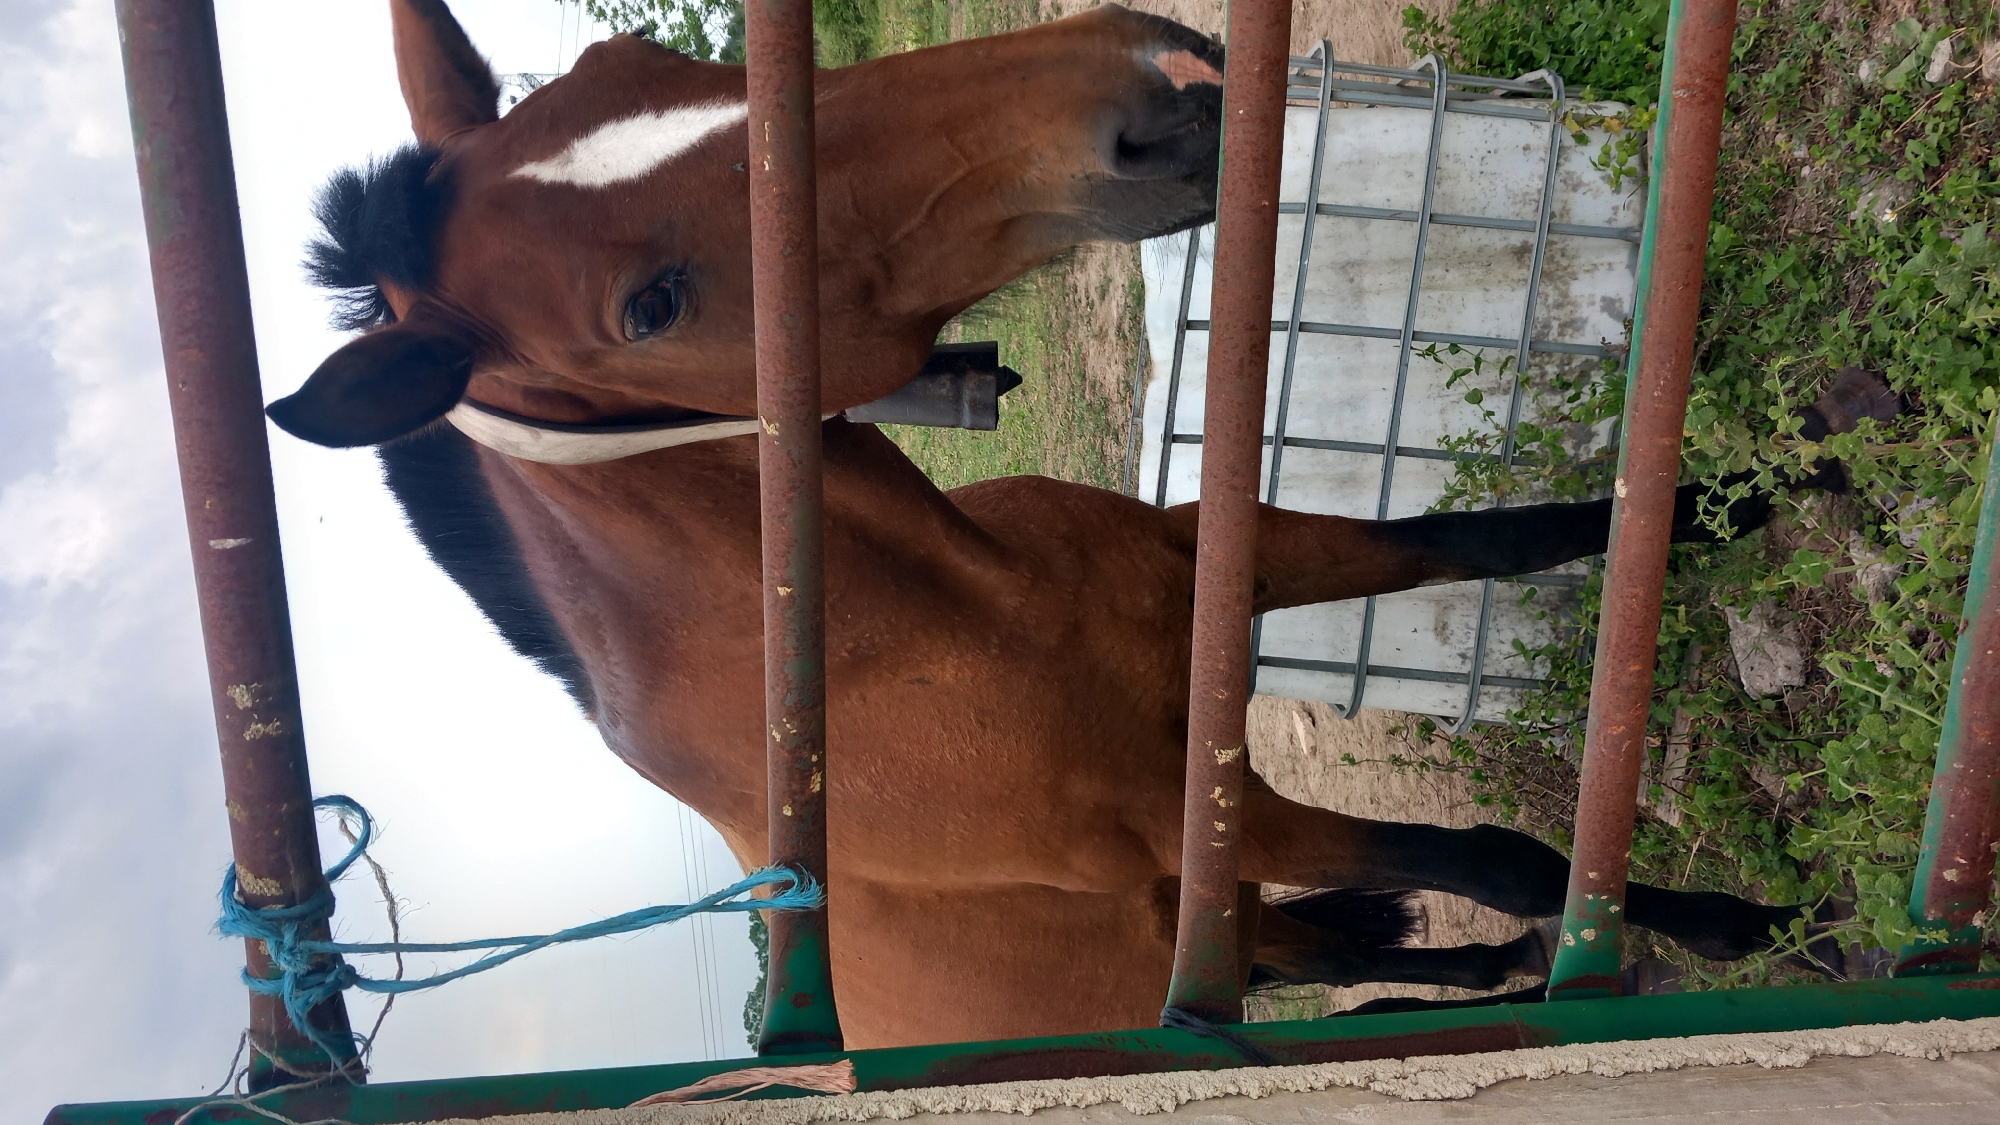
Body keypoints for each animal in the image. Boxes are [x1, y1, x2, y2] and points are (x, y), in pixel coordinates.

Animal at [269, 0, 1879, 1048]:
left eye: (636, 61)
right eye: (650, 305)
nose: (1155, 79)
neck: (949, 638)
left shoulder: (1217, 569)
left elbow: (1501, 540)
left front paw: (1765, 486)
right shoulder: (1211, 802)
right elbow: (1501, 855)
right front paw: (1748, 929)